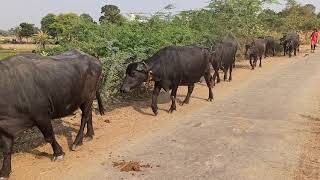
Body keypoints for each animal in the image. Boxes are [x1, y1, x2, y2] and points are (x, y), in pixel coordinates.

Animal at [0, 50, 104, 179]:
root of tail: (94, 60)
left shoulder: (41, 115)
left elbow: (49, 136)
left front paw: (58, 153)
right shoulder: (5, 126)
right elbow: (6, 148)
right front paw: (5, 171)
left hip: (89, 95)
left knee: (84, 116)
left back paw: (77, 142)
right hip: (83, 99)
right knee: (89, 114)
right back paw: (89, 134)